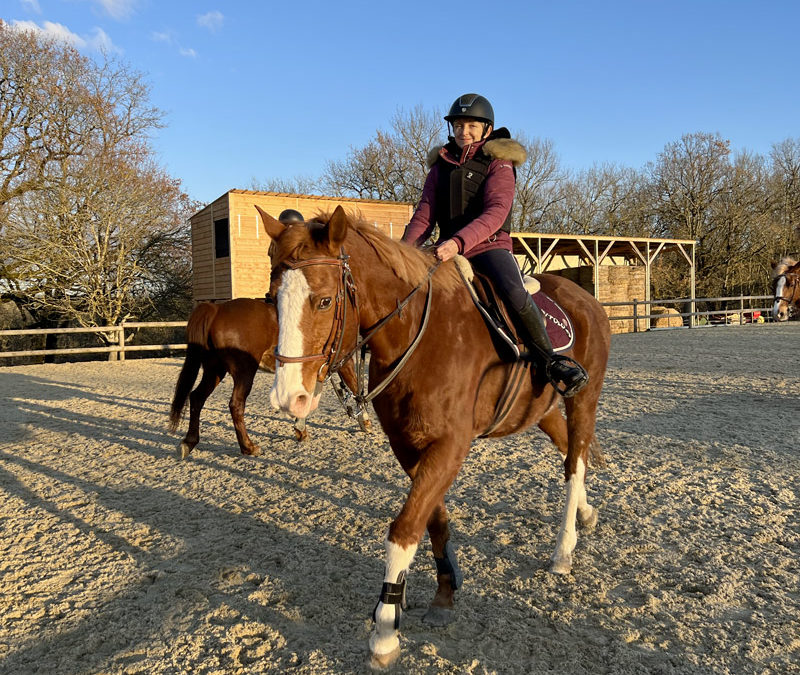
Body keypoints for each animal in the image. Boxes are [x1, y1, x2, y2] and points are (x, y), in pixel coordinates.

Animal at [170, 300, 368, 460]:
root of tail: (217, 309)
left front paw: (300, 430)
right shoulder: (343, 361)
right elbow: (354, 386)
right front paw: (365, 421)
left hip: (215, 370)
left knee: (197, 398)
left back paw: (189, 442)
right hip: (243, 373)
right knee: (236, 405)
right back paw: (248, 447)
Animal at [256, 207, 612, 672]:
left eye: (324, 301)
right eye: (271, 299)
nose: (288, 398)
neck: (419, 338)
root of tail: (586, 298)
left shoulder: (450, 447)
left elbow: (405, 529)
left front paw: (385, 629)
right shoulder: (409, 446)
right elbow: (434, 520)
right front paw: (445, 592)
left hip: (583, 397)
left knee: (575, 463)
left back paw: (564, 549)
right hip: (544, 409)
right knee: (572, 452)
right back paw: (586, 514)